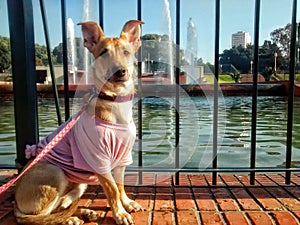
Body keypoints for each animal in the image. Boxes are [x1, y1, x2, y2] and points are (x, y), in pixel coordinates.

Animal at [13, 19, 144, 225]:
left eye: (126, 52)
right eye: (103, 53)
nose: (120, 71)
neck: (115, 101)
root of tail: (16, 202)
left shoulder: (122, 158)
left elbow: (121, 186)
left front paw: (127, 204)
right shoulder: (99, 161)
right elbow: (113, 191)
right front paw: (120, 213)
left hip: (79, 184)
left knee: (63, 205)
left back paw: (83, 213)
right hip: (54, 172)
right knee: (41, 216)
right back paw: (70, 219)